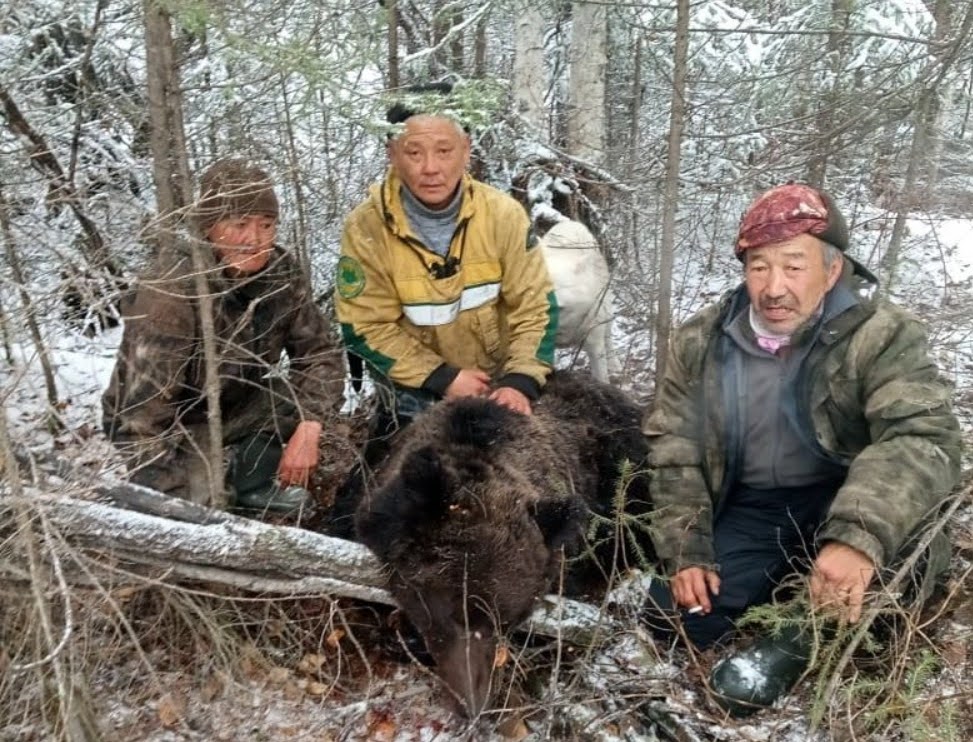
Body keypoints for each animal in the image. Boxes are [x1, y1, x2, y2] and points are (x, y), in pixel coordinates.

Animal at [536, 218, 620, 384]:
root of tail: (571, 222)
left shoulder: (594, 344)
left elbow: (602, 378)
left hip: (606, 314)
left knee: (608, 339)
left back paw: (615, 366)